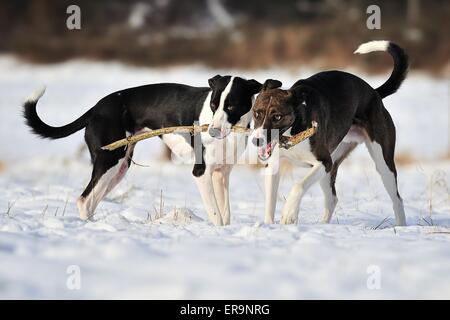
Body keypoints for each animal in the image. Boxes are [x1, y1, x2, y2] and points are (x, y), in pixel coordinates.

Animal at [23, 75, 264, 225]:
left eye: (231, 105)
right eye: (214, 104)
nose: (212, 131)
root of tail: (96, 108)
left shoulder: (221, 174)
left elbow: (226, 215)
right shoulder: (202, 173)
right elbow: (216, 215)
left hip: (119, 167)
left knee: (90, 201)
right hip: (110, 160)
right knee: (84, 200)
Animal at [251, 41, 410, 226]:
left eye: (277, 116)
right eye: (257, 113)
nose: (257, 141)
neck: (293, 132)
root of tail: (374, 93)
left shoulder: (323, 162)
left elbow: (298, 186)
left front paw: (289, 213)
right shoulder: (273, 166)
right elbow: (270, 203)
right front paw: (269, 225)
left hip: (382, 163)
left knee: (397, 199)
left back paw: (401, 227)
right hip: (332, 164)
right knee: (332, 199)